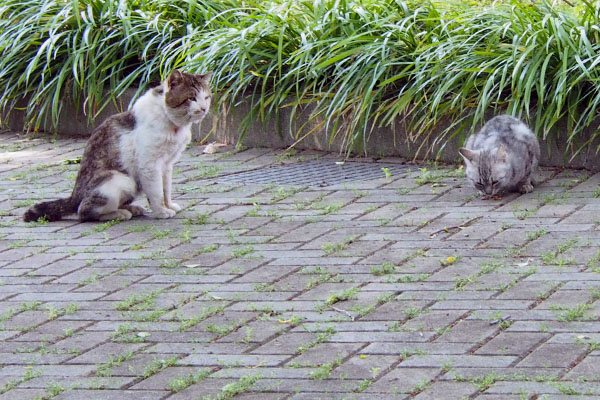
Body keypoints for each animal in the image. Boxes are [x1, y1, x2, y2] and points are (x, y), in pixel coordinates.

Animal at [24, 70, 212, 223]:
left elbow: (166, 189)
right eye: (191, 98)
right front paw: (161, 212)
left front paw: (169, 206)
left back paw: (132, 208)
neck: (173, 125)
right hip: (120, 179)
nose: (204, 109)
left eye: (206, 97)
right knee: (83, 211)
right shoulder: (149, 165)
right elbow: (156, 192)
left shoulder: (167, 165)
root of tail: (74, 196)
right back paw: (119, 214)